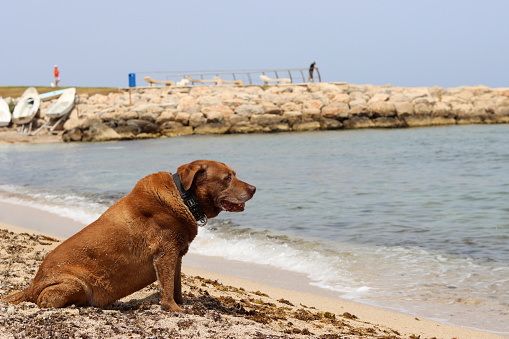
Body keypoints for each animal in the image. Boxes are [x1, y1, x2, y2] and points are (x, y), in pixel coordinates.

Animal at [2, 161, 256, 312]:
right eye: (227, 178)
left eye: (234, 175)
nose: (254, 188)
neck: (185, 198)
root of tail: (30, 285)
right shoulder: (165, 253)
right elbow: (167, 288)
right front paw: (174, 309)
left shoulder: (176, 255)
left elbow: (176, 285)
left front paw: (182, 303)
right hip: (75, 284)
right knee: (46, 299)